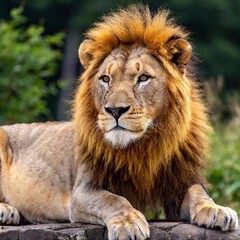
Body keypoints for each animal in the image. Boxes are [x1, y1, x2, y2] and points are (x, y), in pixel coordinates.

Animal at [0, 4, 238, 240]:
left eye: (143, 78)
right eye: (106, 79)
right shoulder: (83, 191)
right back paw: (6, 211)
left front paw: (217, 210)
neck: (142, 147)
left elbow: (199, 193)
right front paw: (128, 223)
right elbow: (113, 200)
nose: (115, 110)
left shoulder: (178, 182)